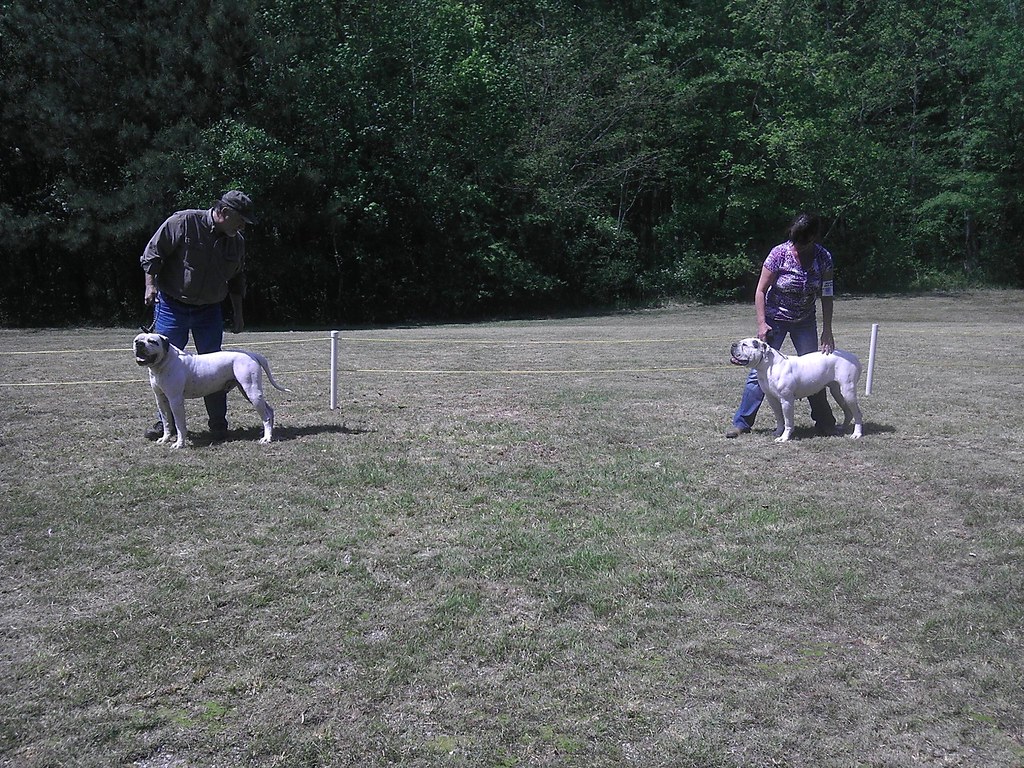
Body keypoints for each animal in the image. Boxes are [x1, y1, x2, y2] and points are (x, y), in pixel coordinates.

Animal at [133, 333, 292, 448]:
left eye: (153, 341)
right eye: (136, 340)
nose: (139, 344)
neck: (164, 364)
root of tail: (252, 354)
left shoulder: (175, 400)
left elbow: (179, 424)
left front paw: (179, 443)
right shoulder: (161, 400)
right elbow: (167, 422)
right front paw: (165, 439)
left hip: (252, 391)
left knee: (266, 415)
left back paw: (266, 438)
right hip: (248, 391)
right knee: (269, 410)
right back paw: (266, 433)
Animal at [729, 337, 864, 442]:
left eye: (745, 345)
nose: (733, 344)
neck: (768, 365)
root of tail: (853, 357)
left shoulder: (786, 400)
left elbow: (788, 421)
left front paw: (784, 437)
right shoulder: (772, 399)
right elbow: (779, 419)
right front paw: (778, 432)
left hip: (848, 392)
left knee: (857, 413)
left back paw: (856, 434)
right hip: (837, 392)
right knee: (848, 411)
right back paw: (842, 428)